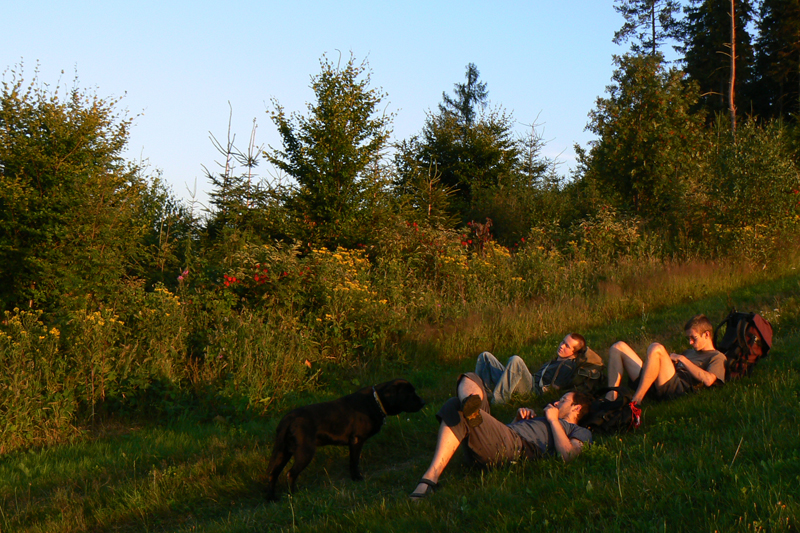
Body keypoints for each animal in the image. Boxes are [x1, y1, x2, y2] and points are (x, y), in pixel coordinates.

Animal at [266, 378, 424, 498]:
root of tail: (288, 418)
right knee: (290, 473)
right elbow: (354, 462)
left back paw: (272, 498)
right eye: (409, 393)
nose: (423, 402)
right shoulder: (357, 440)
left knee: (273, 474)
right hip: (305, 452)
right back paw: (294, 495)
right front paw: (357, 478)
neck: (375, 401)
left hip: (283, 452)